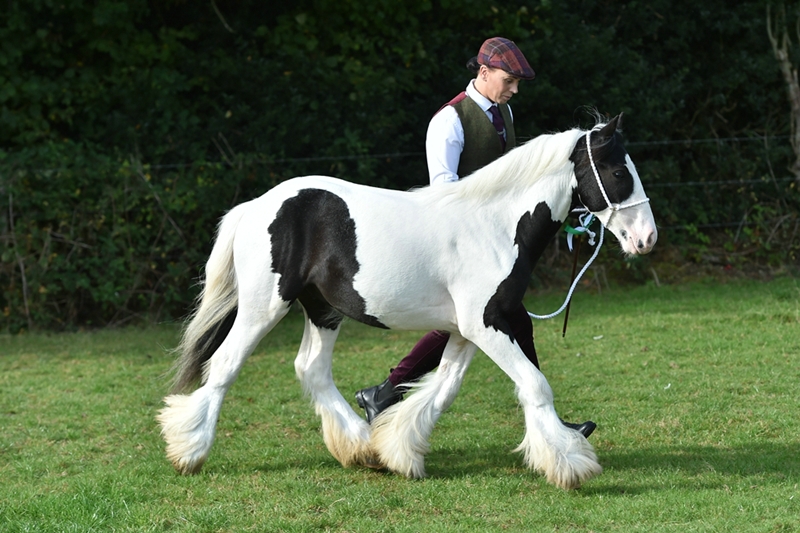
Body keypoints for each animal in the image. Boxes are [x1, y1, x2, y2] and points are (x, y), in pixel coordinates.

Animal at [156, 114, 656, 488]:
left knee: (312, 370)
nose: (647, 239)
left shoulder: (467, 330)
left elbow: (442, 389)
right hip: (265, 306)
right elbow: (534, 385)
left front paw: (398, 451)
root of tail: (256, 205)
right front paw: (571, 463)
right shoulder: (487, 323)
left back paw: (360, 447)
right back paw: (189, 451)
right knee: (224, 365)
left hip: (323, 310)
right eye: (618, 172)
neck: (495, 225)